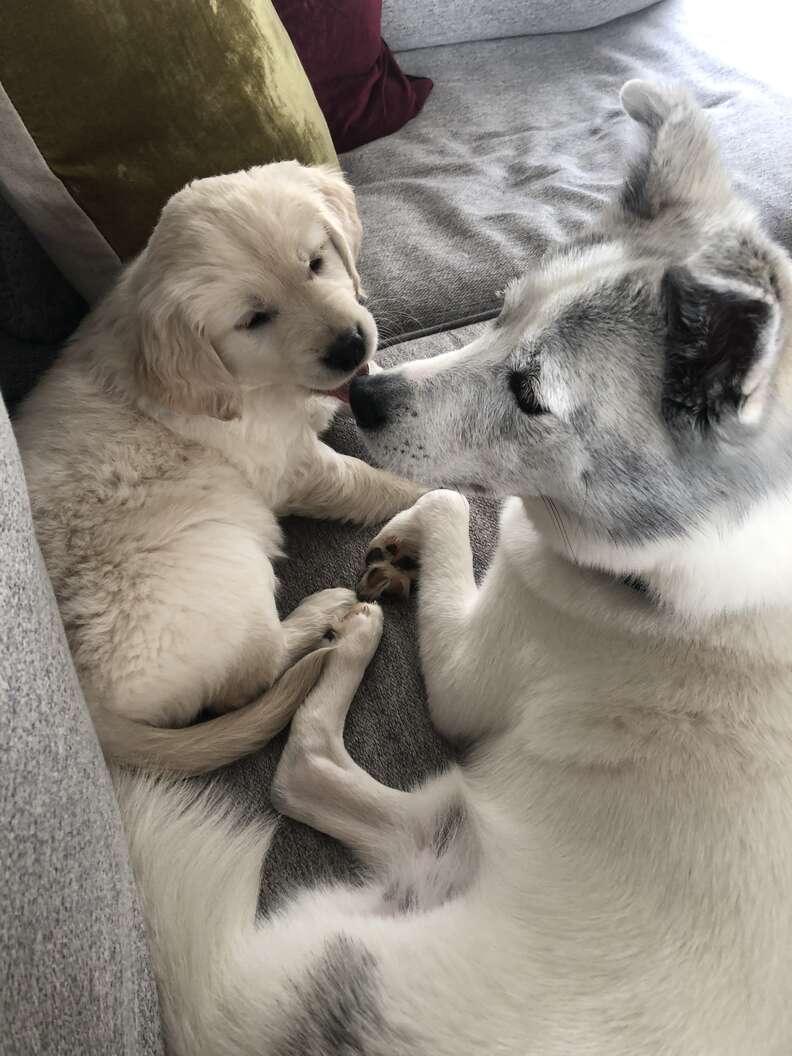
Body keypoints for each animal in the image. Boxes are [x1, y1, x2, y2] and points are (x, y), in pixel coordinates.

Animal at [114, 84, 789, 1056]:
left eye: (530, 394)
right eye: (500, 308)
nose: (362, 391)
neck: (669, 568)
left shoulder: (474, 675)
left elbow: (444, 503)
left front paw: (400, 541)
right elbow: (448, 502)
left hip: (424, 839)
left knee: (301, 766)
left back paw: (352, 635)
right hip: (437, 826)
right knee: (306, 771)